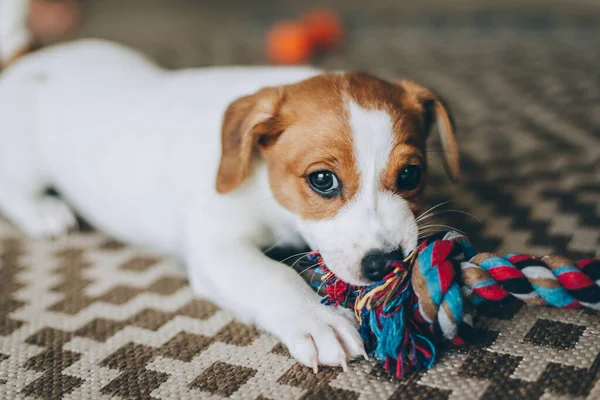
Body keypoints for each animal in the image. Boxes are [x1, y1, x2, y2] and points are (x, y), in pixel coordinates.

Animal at [1, 0, 460, 372]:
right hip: (25, 158)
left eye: (411, 175)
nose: (387, 264)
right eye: (322, 180)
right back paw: (43, 211)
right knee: (12, 188)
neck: (265, 189)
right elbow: (272, 276)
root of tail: (27, 59)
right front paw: (317, 319)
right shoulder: (218, 248)